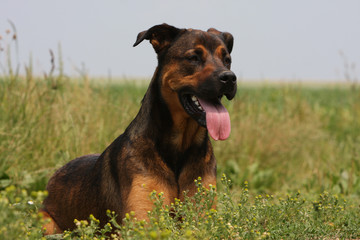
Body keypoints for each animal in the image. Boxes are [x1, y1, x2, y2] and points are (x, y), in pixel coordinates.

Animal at [40, 23, 236, 234]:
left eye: (227, 60)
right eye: (193, 57)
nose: (230, 78)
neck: (179, 148)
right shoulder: (143, 222)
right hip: (46, 222)